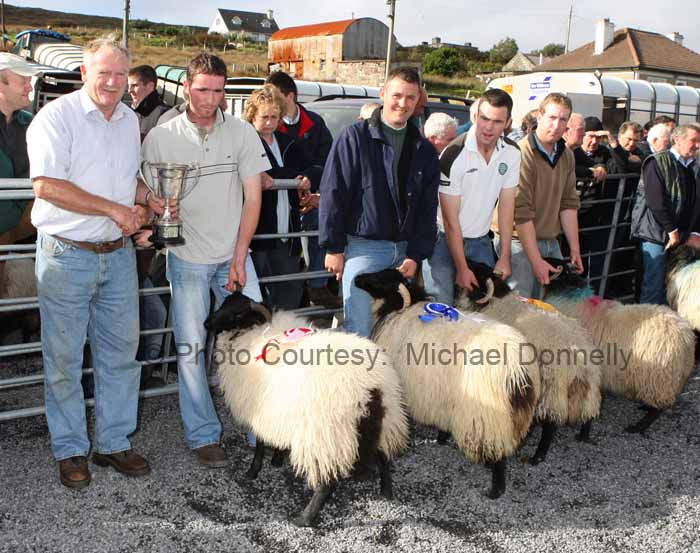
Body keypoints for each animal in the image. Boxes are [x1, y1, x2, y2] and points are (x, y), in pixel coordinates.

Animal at [202, 288, 410, 528]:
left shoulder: (260, 409)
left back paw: (304, 518)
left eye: (237, 314)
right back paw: (386, 492)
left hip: (326, 437)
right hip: (384, 422)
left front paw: (253, 471)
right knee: (384, 458)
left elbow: (260, 444)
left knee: (327, 484)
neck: (251, 333)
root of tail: (370, 388)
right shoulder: (278, 408)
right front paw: (277, 459)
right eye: (224, 303)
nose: (207, 323)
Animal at [352, 268, 540, 500]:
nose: (356, 279)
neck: (396, 310)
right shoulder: (440, 392)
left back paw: (495, 489)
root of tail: (518, 372)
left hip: (487, 414)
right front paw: (441, 437)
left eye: (380, 279)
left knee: (499, 456)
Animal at [456, 260, 604, 464]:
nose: (463, 265)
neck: (498, 302)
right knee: (589, 413)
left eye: (476, 271)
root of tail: (580, 355)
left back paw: (537, 457)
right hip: (590, 387)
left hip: (552, 388)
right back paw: (583, 436)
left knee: (551, 424)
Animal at [540, 256, 696, 434]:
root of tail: (687, 339)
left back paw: (638, 426)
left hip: (659, 377)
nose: (540, 260)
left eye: (553, 263)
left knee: (659, 409)